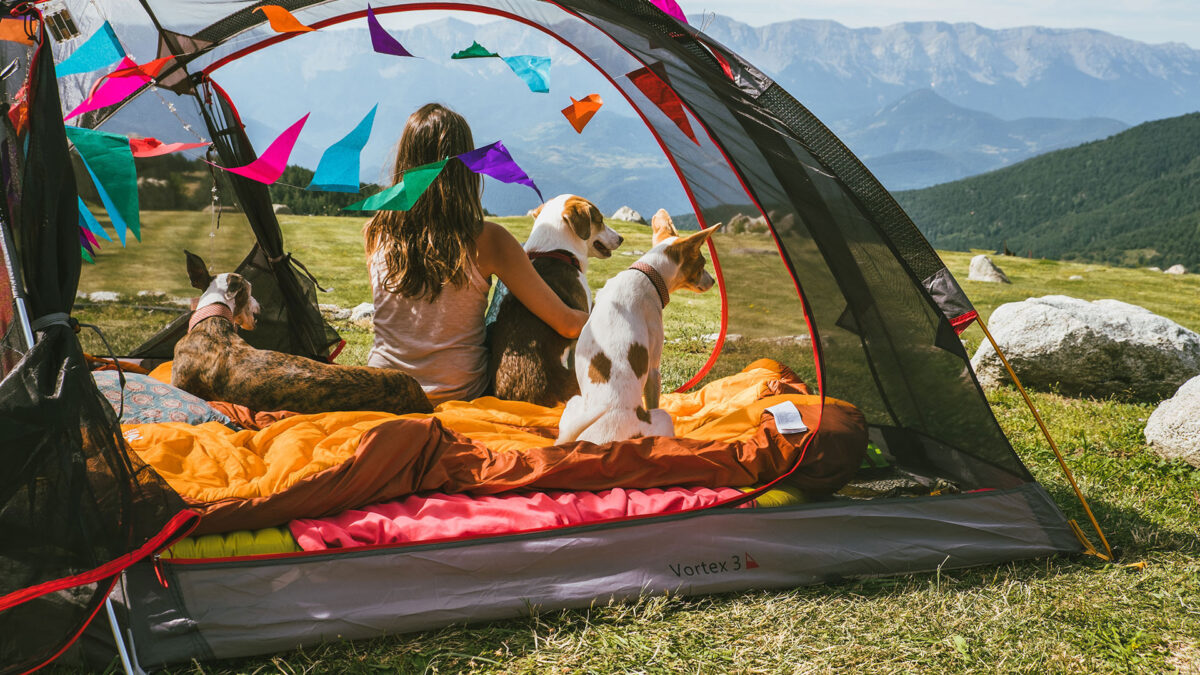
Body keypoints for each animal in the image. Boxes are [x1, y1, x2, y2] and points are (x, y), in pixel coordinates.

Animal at [556, 207, 715, 444]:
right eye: (702, 263)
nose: (713, 281)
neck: (646, 274)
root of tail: (599, 441)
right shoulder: (654, 369)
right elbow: (653, 395)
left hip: (574, 404)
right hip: (663, 416)